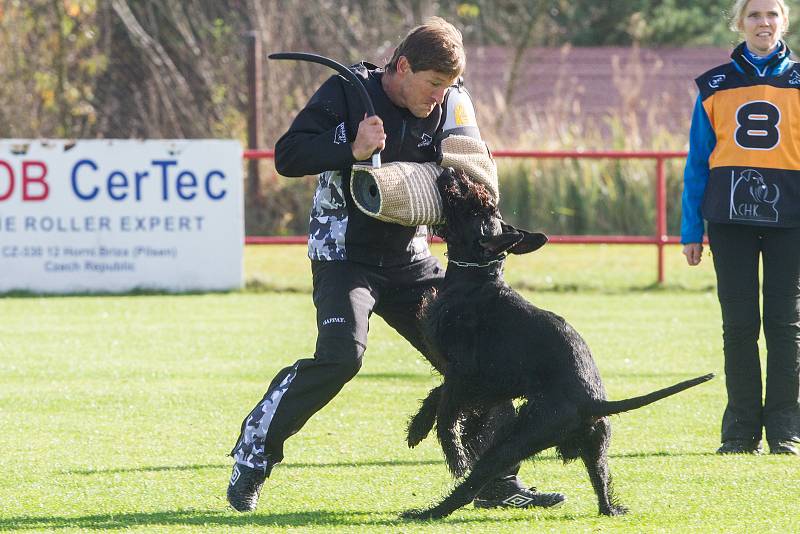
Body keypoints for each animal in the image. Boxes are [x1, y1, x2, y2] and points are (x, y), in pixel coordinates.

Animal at [404, 170, 716, 520]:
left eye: (476, 206)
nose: (450, 172)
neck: (476, 281)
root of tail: (593, 403)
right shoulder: (483, 383)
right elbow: (437, 396)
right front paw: (417, 428)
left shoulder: (467, 375)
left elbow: (446, 412)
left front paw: (454, 454)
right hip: (595, 446)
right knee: (602, 486)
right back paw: (610, 508)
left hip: (517, 439)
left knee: (473, 482)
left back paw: (428, 512)